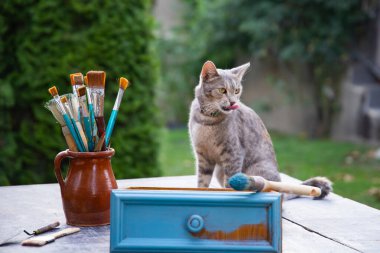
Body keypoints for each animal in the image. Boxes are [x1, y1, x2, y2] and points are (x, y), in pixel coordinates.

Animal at [190, 60, 332, 199]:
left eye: (237, 90)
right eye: (222, 90)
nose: (232, 102)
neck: (207, 121)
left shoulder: (233, 153)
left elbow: (229, 181)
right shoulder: (202, 155)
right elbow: (202, 181)